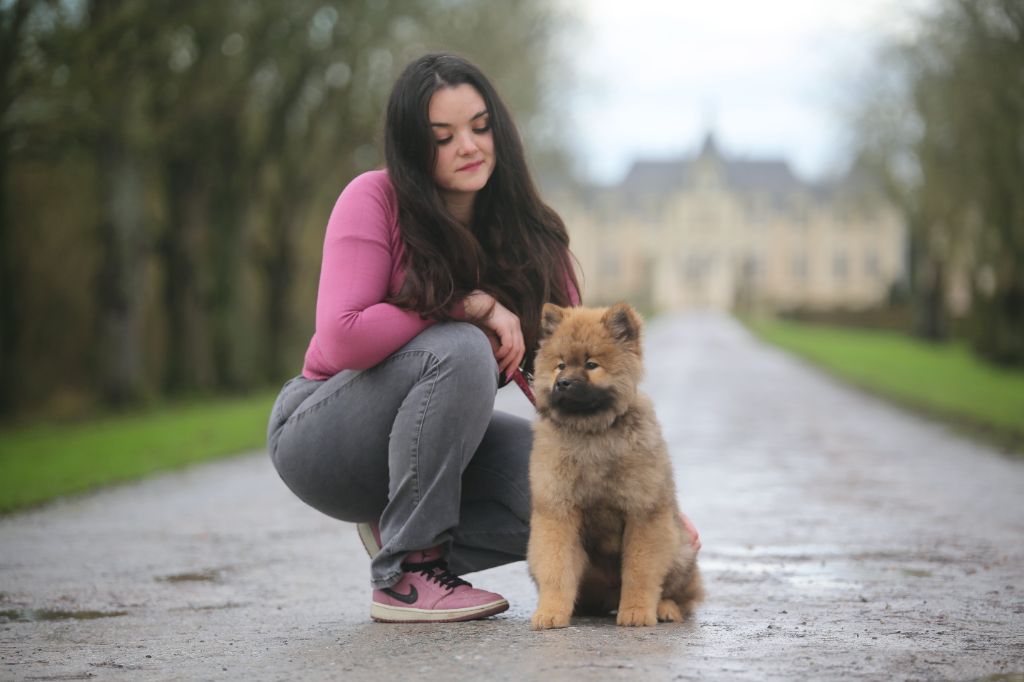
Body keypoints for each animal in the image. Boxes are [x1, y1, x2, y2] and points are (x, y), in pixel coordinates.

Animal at [528, 301, 704, 630]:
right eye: (560, 365)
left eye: (591, 364)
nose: (563, 383)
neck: (593, 431)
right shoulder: (557, 513)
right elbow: (556, 570)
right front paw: (550, 612)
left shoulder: (643, 513)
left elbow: (640, 572)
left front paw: (636, 612)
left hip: (678, 550)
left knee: (683, 596)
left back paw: (665, 608)